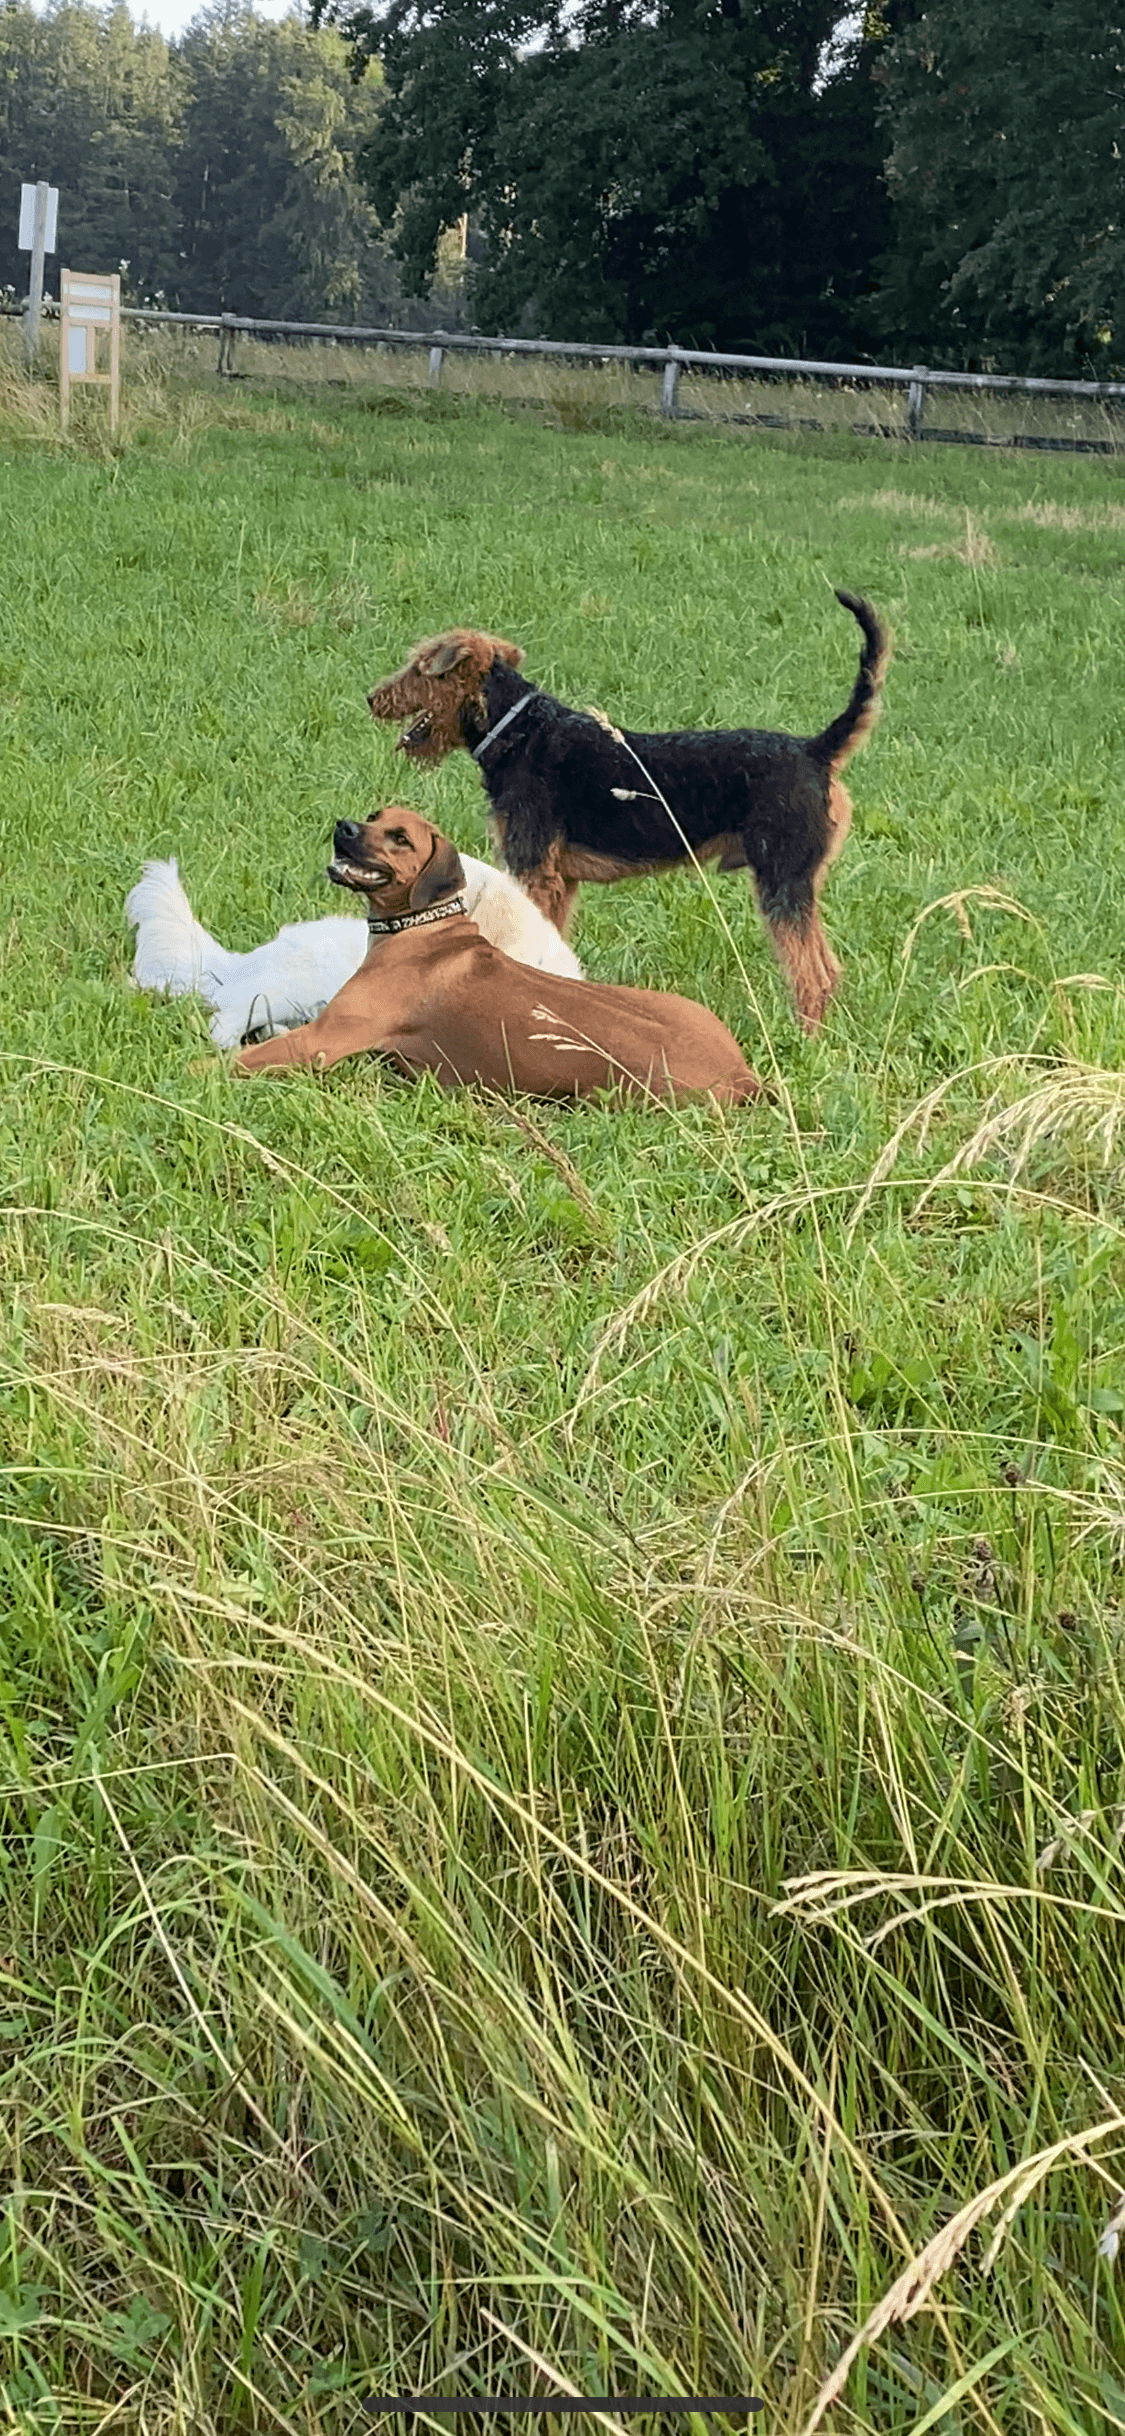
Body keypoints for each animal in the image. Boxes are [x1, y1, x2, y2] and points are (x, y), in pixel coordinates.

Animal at [237, 803, 764, 1110]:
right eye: (373, 813)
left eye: (400, 838)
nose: (343, 827)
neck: (424, 927)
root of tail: (742, 1075)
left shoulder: (322, 1040)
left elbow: (240, 1061)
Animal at [365, 601, 891, 1047]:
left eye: (419, 668)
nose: (373, 697)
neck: (519, 732)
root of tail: (815, 750)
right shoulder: (561, 881)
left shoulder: (533, 869)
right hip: (801, 881)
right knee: (827, 968)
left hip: (780, 881)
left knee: (812, 975)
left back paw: (802, 1043)